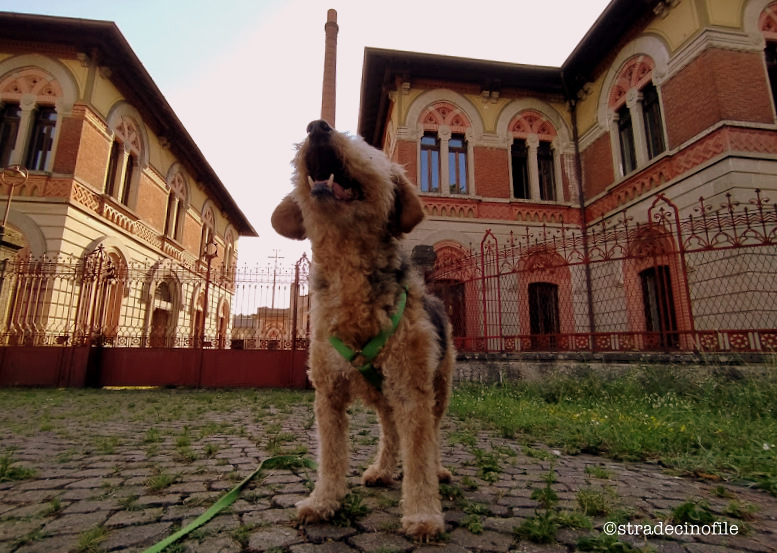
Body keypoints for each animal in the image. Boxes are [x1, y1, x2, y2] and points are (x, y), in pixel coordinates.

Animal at [272, 118, 454, 536]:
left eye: (368, 148)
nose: (317, 127)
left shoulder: (412, 389)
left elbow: (420, 454)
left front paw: (423, 514)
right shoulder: (328, 393)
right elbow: (331, 456)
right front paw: (323, 502)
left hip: (438, 387)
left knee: (433, 434)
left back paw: (437, 470)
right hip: (384, 397)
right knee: (389, 432)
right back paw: (382, 470)